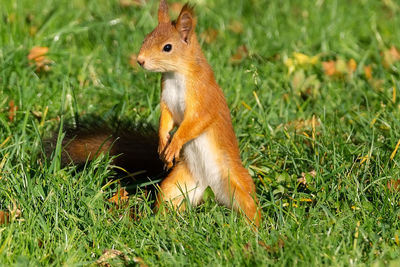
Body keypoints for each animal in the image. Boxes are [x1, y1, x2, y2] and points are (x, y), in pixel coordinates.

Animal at [138, 0, 260, 226]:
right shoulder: (167, 100)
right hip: (178, 184)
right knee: (169, 198)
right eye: (146, 38)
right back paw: (160, 221)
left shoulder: (203, 99)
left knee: (249, 205)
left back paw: (256, 229)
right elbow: (166, 119)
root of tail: (210, 185)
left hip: (237, 182)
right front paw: (163, 142)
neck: (176, 74)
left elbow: (194, 123)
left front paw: (174, 144)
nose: (140, 60)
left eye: (167, 47)